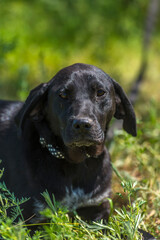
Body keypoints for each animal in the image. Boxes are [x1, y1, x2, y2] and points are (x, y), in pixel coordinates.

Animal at [0, 63, 136, 221]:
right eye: (63, 95)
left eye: (101, 92)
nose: (82, 124)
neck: (77, 165)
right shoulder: (26, 218)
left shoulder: (98, 208)